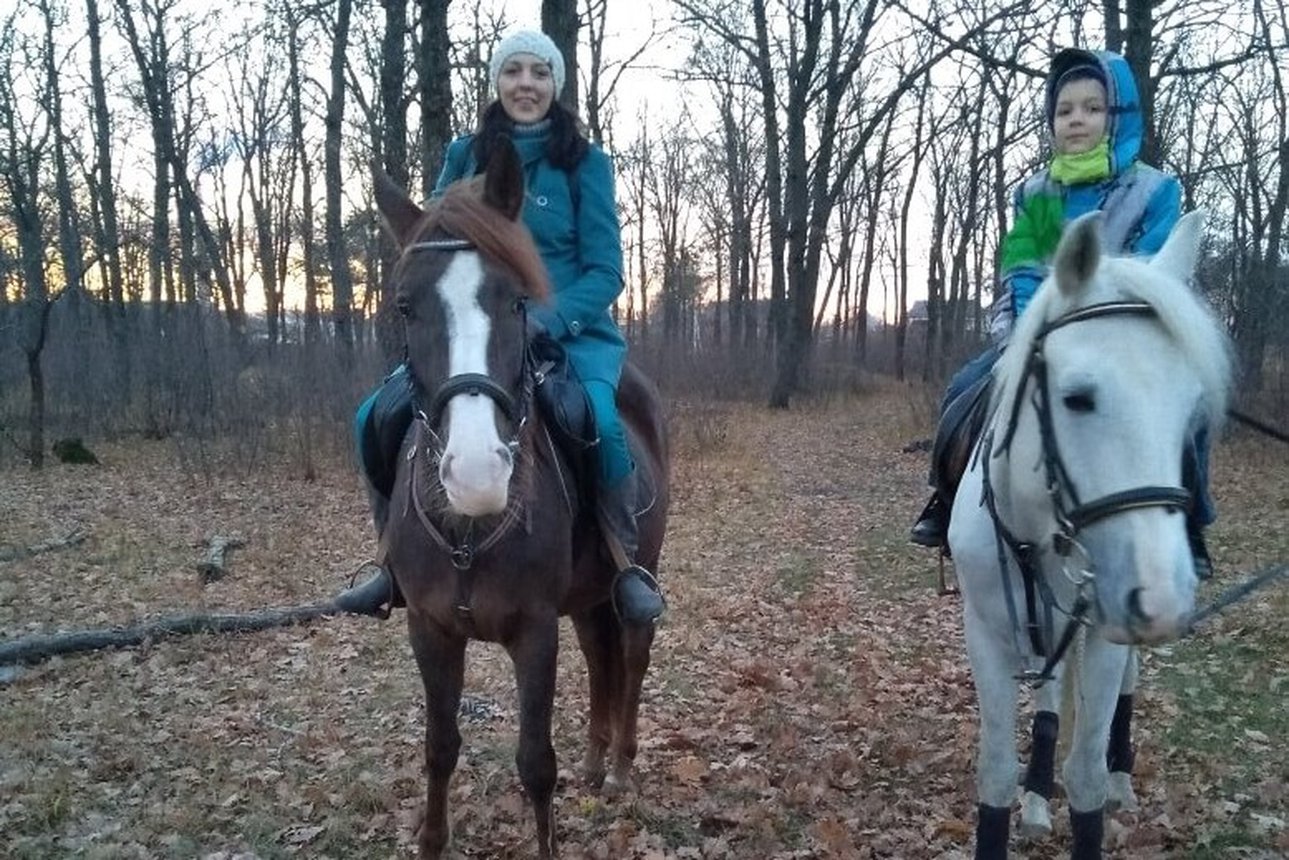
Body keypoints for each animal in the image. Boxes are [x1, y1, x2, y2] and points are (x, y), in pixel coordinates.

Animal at [371, 143, 665, 860]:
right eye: (405, 306)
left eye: (517, 303)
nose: (477, 473)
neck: (467, 532)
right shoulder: (430, 629)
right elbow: (439, 747)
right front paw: (432, 841)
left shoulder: (534, 631)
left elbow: (535, 763)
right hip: (586, 598)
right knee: (599, 656)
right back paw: (594, 760)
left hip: (638, 574)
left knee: (632, 655)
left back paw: (619, 765)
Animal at [953, 210, 1232, 860]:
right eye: (1076, 398)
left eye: (1192, 411)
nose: (1159, 597)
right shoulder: (987, 629)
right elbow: (996, 771)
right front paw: (1024, 796)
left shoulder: (1105, 634)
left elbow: (1085, 777)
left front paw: (1098, 785)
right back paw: (1036, 798)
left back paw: (1122, 777)